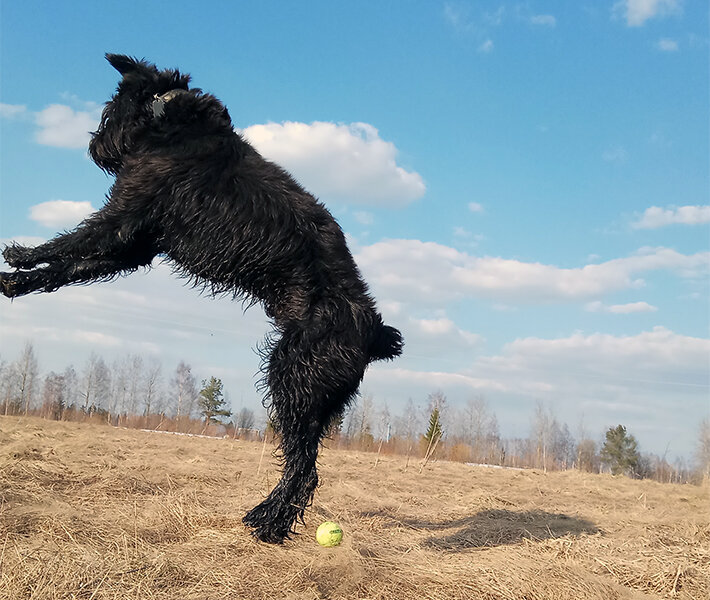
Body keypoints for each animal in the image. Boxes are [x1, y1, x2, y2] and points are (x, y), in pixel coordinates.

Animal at [0, 55, 404, 544]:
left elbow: (69, 242)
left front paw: (19, 254)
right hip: (319, 400)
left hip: (293, 378)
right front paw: (16, 282)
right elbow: (68, 268)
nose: (94, 146)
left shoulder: (122, 217)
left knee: (303, 467)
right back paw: (271, 520)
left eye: (108, 112)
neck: (172, 119)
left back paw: (266, 522)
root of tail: (374, 332)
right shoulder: (133, 246)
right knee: (306, 467)